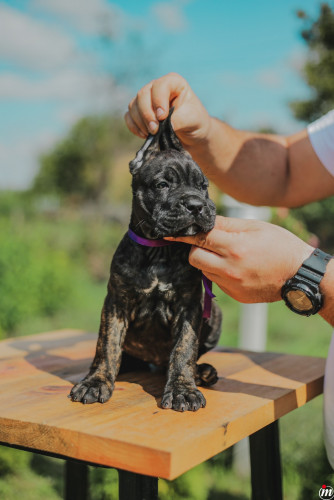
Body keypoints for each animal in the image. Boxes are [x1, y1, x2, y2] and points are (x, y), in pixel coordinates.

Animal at [69, 108, 222, 410]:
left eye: (203, 186)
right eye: (162, 184)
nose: (197, 205)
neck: (159, 249)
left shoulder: (189, 304)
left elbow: (184, 348)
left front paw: (183, 389)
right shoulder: (116, 302)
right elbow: (107, 345)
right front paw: (96, 381)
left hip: (215, 314)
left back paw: (203, 372)